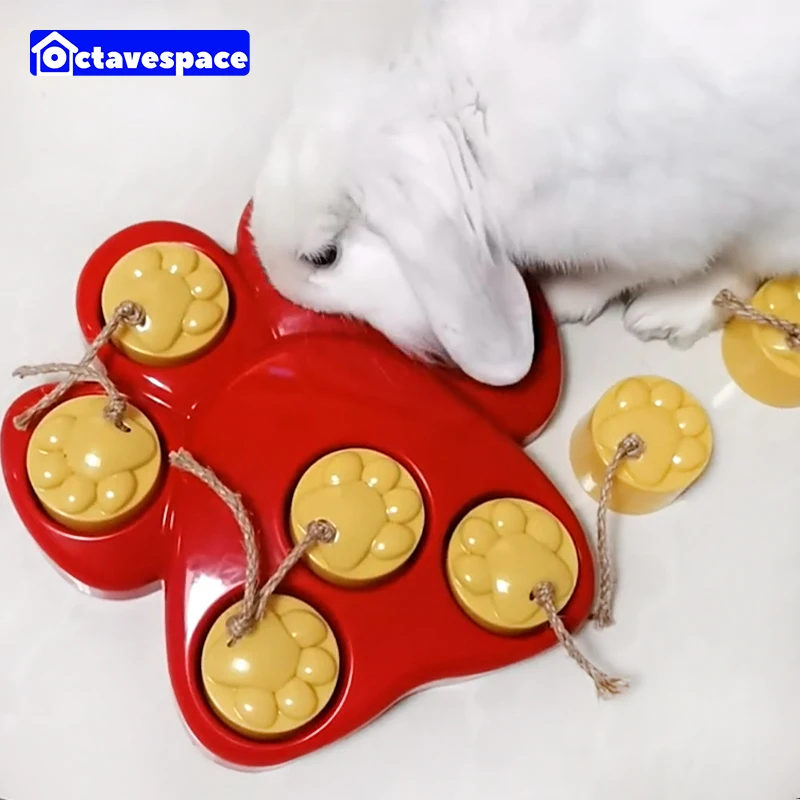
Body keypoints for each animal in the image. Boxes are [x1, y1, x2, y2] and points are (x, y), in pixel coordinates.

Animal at [250, 0, 800, 386]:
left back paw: (660, 315)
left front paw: (565, 298)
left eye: (323, 257)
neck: (457, 122)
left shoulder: (659, 233)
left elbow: (626, 271)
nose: (276, 283)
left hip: (770, 226)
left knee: (740, 270)